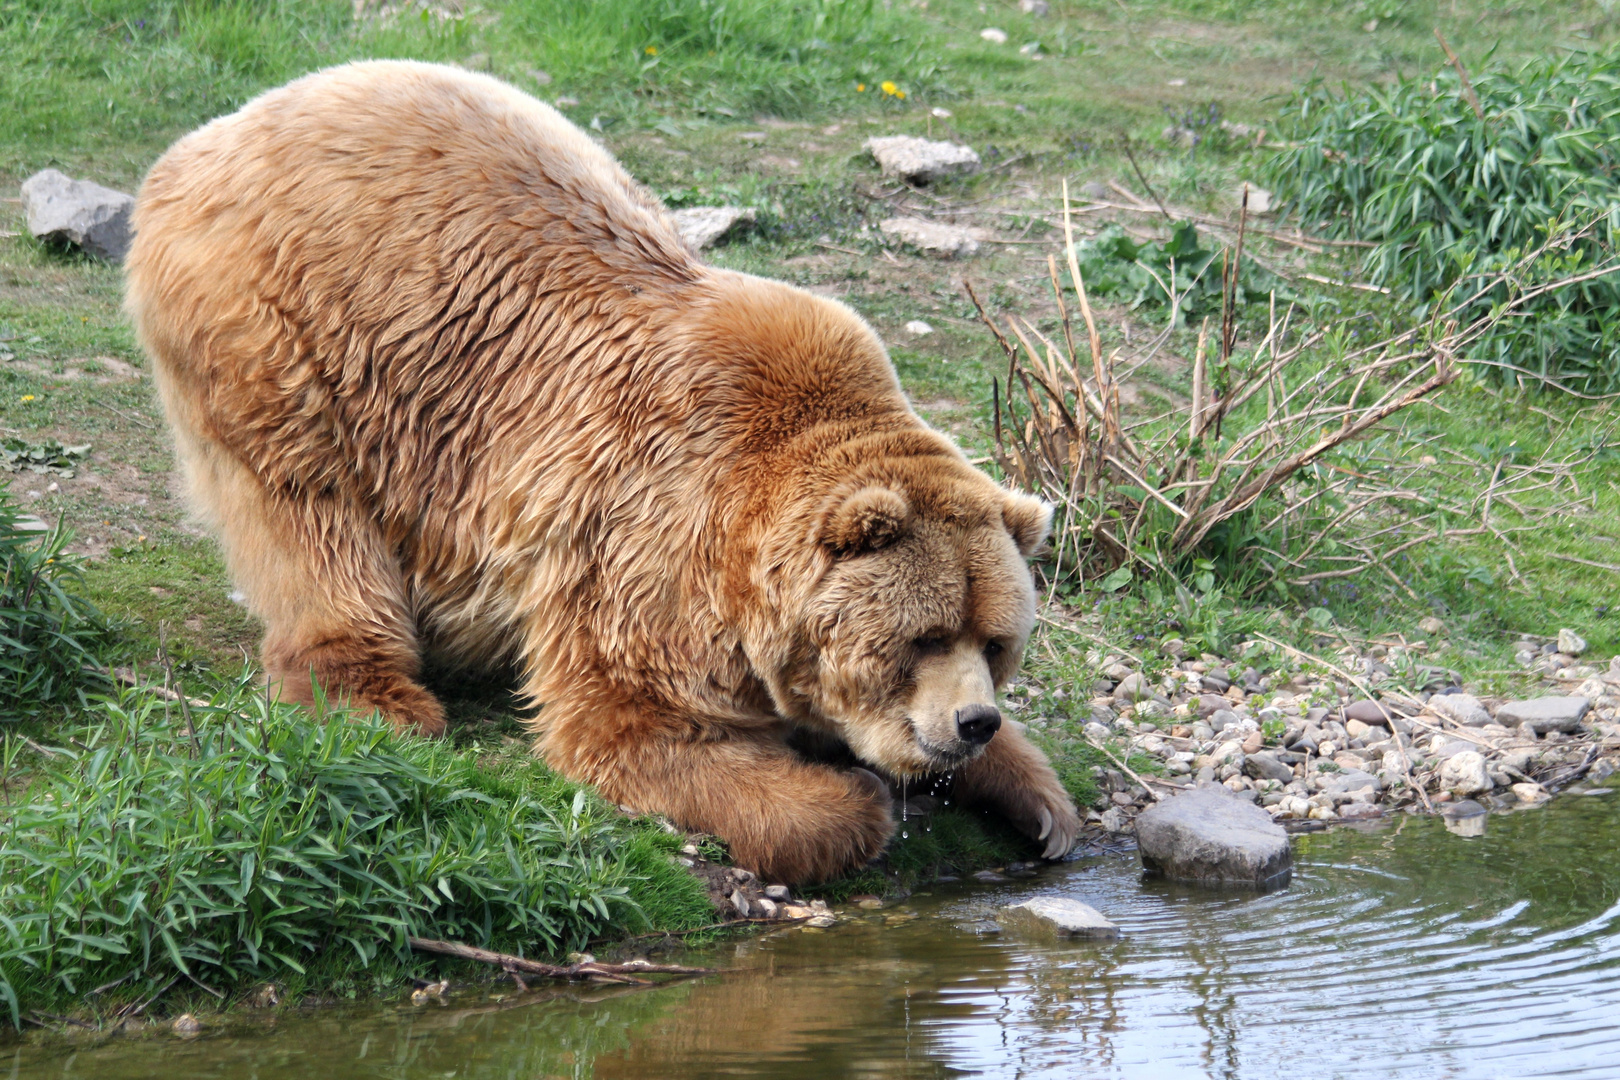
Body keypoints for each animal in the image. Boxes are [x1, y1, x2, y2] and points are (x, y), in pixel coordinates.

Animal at [126, 61, 1075, 887]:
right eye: (920, 637)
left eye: (996, 640)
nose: (973, 719)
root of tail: (220, 128)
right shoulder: (654, 534)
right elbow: (635, 724)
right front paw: (853, 800)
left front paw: (1039, 801)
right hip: (287, 331)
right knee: (309, 518)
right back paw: (372, 691)